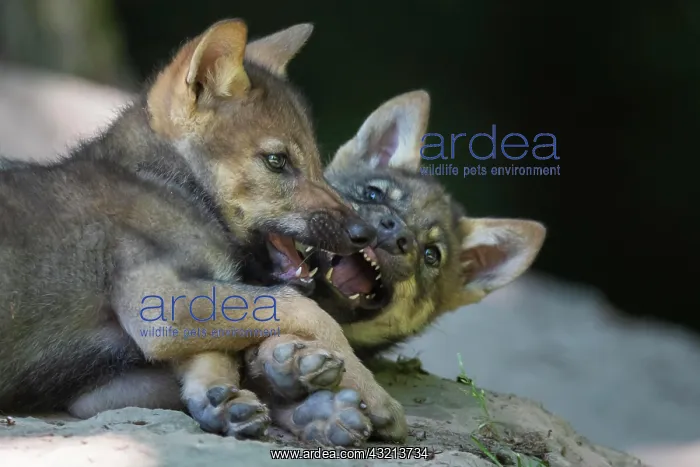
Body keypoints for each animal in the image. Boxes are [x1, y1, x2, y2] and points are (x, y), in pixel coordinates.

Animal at [0, 19, 408, 445]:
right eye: (276, 161)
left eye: (316, 159)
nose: (369, 232)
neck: (163, 182)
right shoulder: (160, 306)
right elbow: (305, 310)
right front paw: (373, 396)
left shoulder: (101, 389)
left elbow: (221, 358)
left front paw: (286, 398)